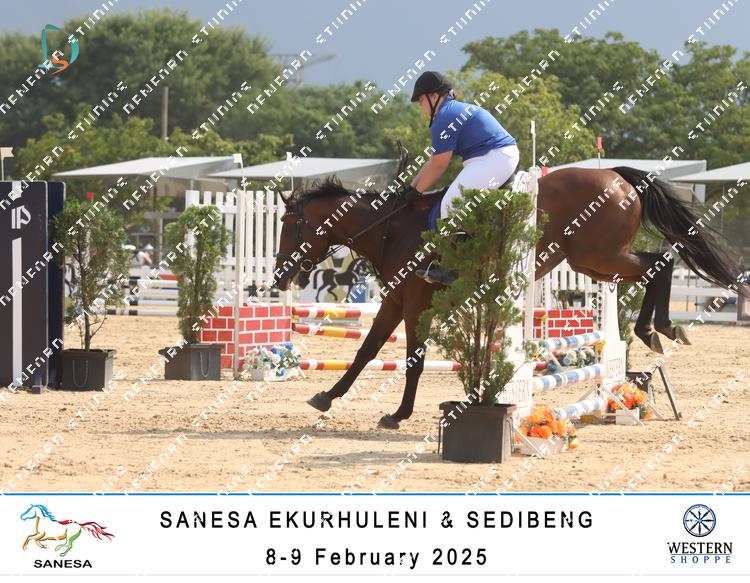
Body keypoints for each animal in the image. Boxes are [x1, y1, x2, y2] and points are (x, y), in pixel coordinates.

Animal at [273, 167, 744, 429]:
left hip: (598, 255)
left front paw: (398, 415)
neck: (391, 228)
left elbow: (413, 359)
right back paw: (660, 329)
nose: (280, 275)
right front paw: (327, 396)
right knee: (657, 263)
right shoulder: (394, 301)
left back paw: (655, 328)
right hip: (595, 264)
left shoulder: (417, 301)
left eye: (288, 227)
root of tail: (616, 175)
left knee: (662, 260)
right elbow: (367, 350)